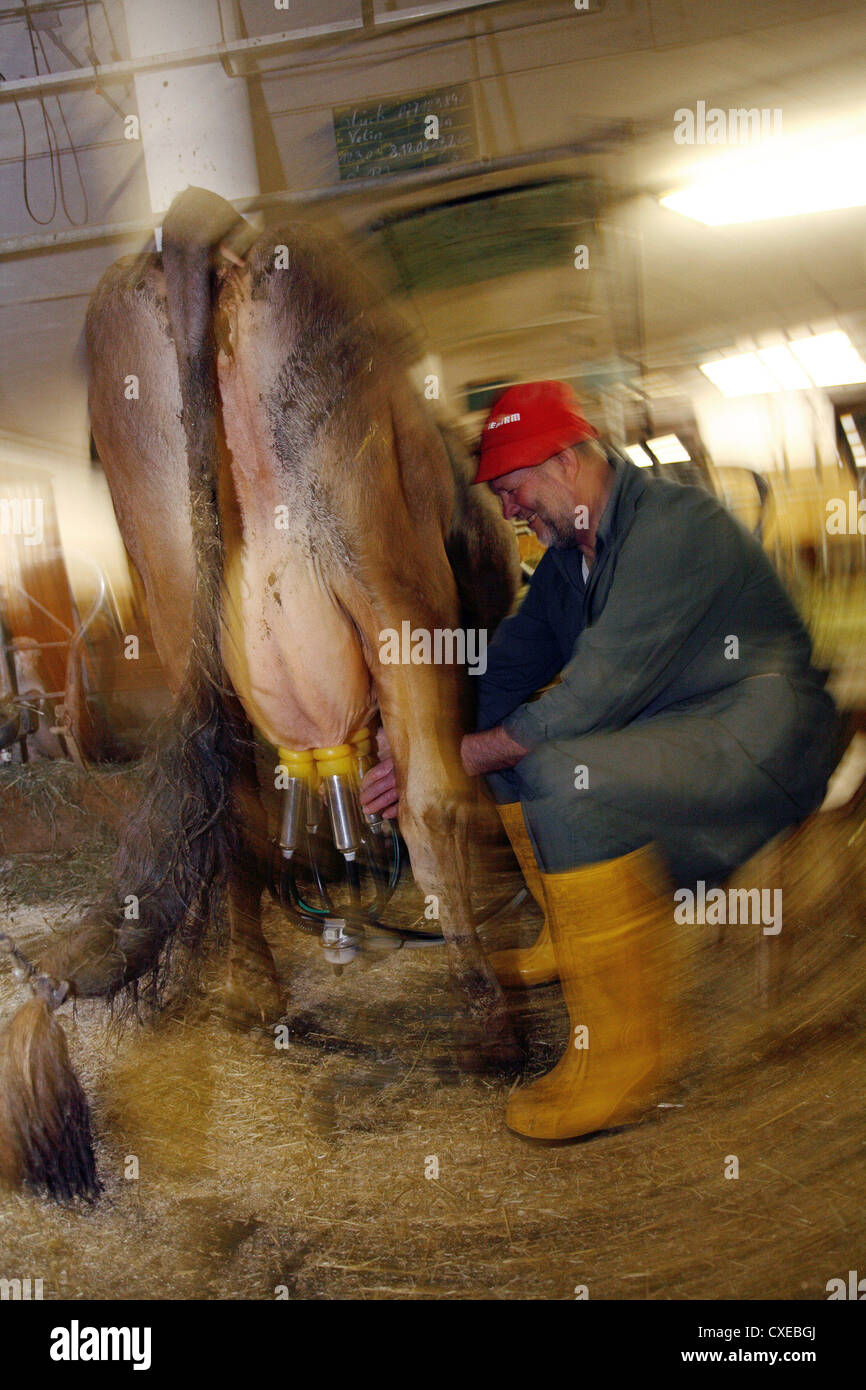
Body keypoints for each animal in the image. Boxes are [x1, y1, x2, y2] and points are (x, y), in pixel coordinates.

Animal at [0, 187, 522, 1206]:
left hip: (175, 598)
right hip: (388, 573)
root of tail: (201, 223)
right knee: (435, 799)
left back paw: (257, 999)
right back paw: (495, 1035)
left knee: (229, 813)